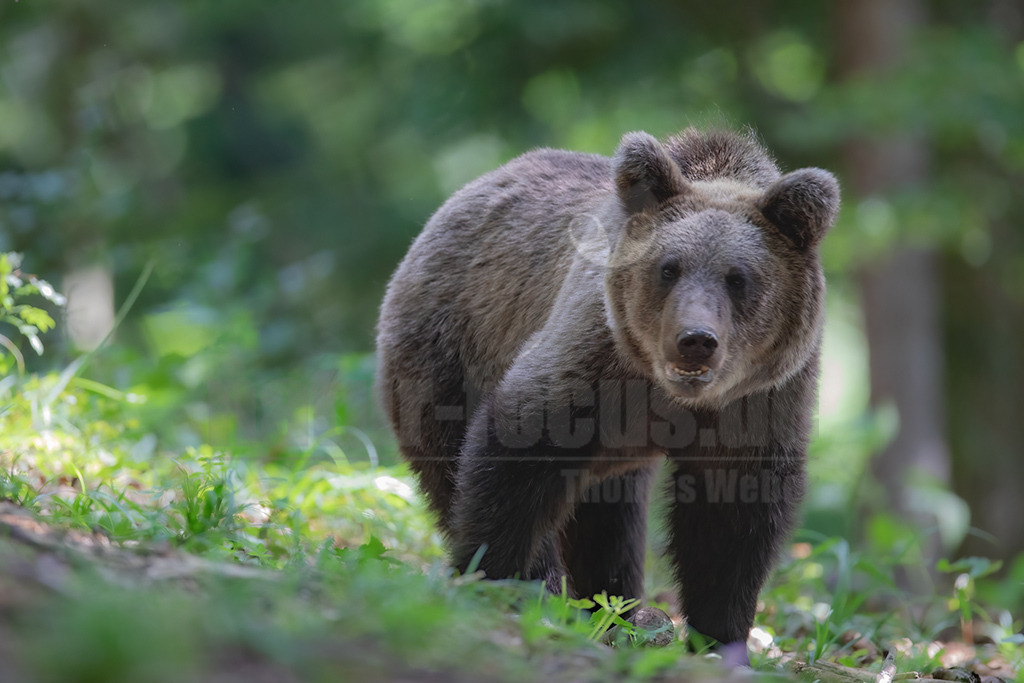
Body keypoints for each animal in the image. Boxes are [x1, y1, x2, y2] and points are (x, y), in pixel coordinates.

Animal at [376, 127, 839, 654]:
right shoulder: (592, 357)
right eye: (669, 268)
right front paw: (499, 578)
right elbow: (516, 455)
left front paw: (719, 636)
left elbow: (731, 520)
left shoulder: (760, 401)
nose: (695, 340)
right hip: (447, 349)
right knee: (452, 464)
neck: (671, 396)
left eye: (738, 278)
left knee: (609, 520)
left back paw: (615, 609)